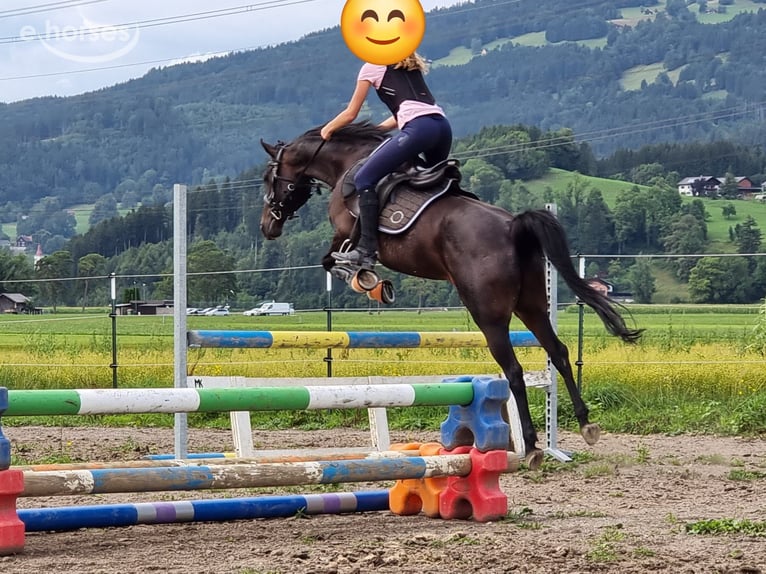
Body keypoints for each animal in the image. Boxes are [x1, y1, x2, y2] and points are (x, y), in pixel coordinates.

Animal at [259, 121, 642, 468]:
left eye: (267, 178)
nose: (268, 226)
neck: (345, 164)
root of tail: (512, 226)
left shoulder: (344, 232)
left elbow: (333, 260)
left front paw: (369, 281)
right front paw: (374, 284)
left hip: (488, 314)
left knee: (514, 369)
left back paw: (533, 446)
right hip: (532, 305)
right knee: (558, 352)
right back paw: (585, 423)